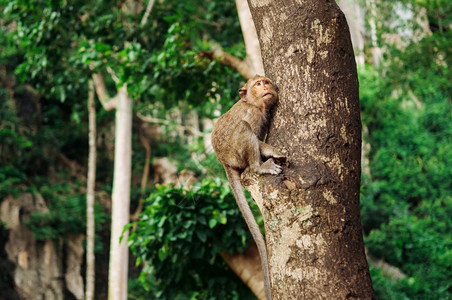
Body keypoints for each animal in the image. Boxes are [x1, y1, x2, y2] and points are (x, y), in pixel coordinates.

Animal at [210, 74, 284, 300]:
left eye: (266, 82)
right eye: (257, 84)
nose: (265, 87)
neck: (254, 104)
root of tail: (224, 162)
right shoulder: (253, 115)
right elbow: (256, 138)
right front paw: (271, 152)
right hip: (234, 152)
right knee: (243, 128)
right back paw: (259, 166)